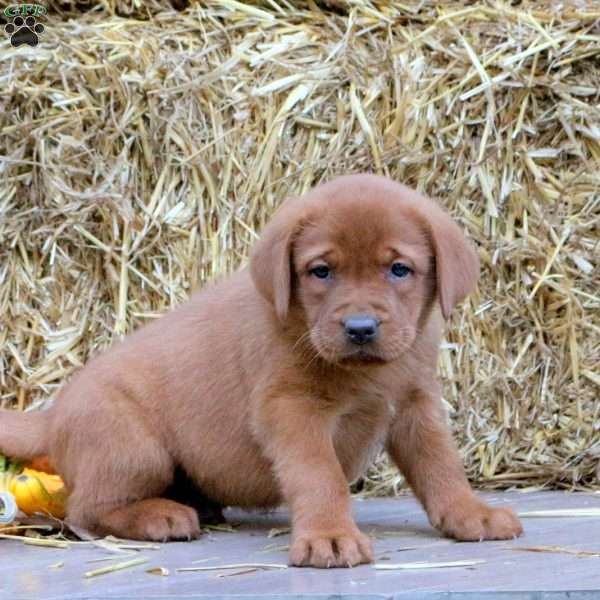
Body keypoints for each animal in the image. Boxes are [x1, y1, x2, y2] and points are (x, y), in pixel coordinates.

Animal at [0, 173, 524, 568]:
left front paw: (469, 515)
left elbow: (442, 468)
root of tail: (53, 415)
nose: (360, 328)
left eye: (399, 269)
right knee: (84, 510)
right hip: (134, 448)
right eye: (321, 271)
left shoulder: (417, 405)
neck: (365, 372)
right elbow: (320, 475)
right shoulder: (291, 409)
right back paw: (159, 516)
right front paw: (330, 535)